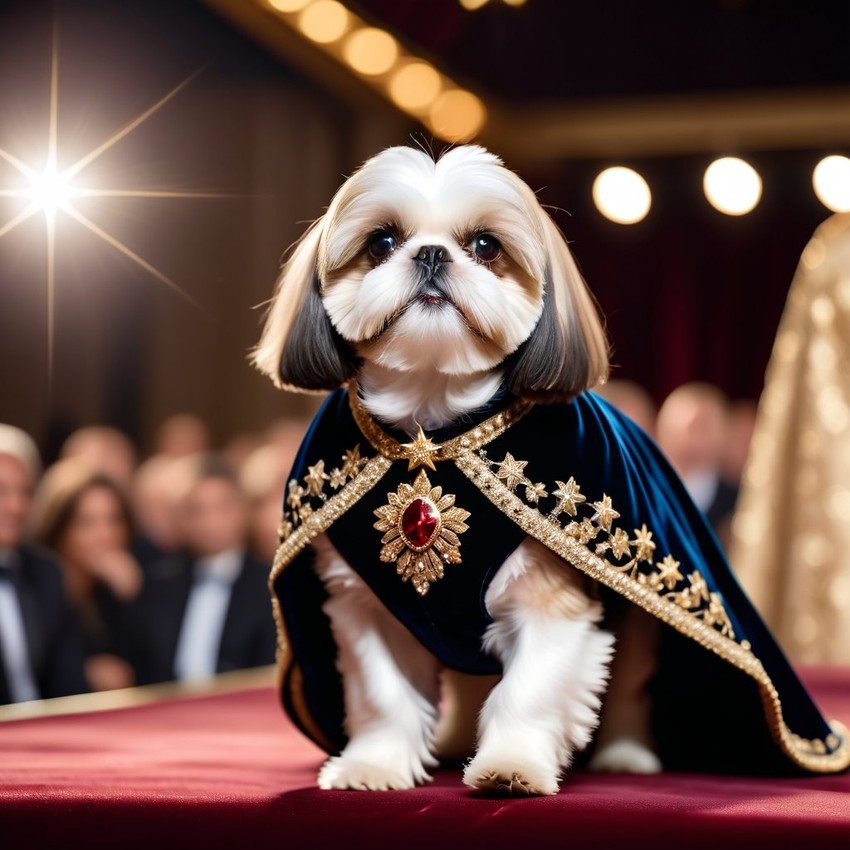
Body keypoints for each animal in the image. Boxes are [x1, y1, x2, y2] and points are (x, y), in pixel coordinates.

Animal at [252, 144, 664, 788]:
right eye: (383, 242)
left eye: (486, 246)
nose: (429, 253)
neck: (432, 428)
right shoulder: (368, 608)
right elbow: (384, 696)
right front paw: (374, 763)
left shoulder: (552, 603)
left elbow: (529, 692)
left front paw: (511, 764)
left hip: (639, 627)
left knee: (627, 687)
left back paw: (627, 754)